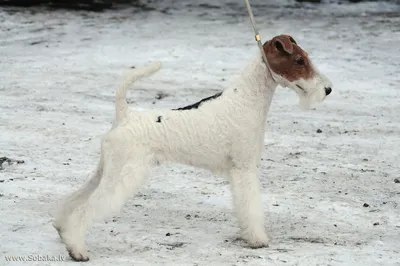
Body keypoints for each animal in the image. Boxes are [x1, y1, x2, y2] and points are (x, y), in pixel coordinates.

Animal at [54, 34, 332, 260]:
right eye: (299, 60)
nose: (328, 90)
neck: (247, 99)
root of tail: (125, 115)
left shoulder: (240, 170)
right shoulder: (244, 169)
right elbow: (251, 208)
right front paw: (257, 239)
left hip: (106, 170)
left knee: (75, 199)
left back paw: (63, 230)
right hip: (122, 174)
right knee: (87, 208)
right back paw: (77, 250)